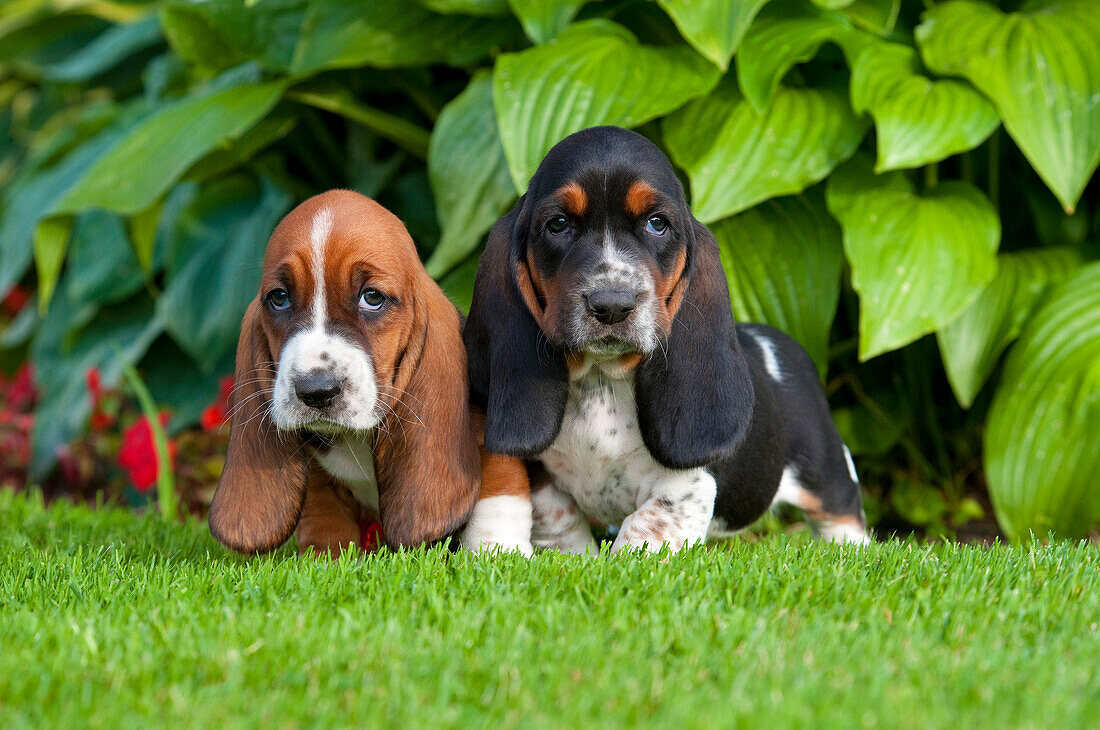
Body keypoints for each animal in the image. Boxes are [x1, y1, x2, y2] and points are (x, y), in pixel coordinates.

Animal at [457, 125, 866, 554]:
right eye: (558, 224)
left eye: (657, 224)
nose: (611, 304)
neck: (601, 378)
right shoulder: (543, 477)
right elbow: (561, 521)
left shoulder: (687, 484)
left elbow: (645, 528)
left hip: (825, 472)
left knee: (844, 516)